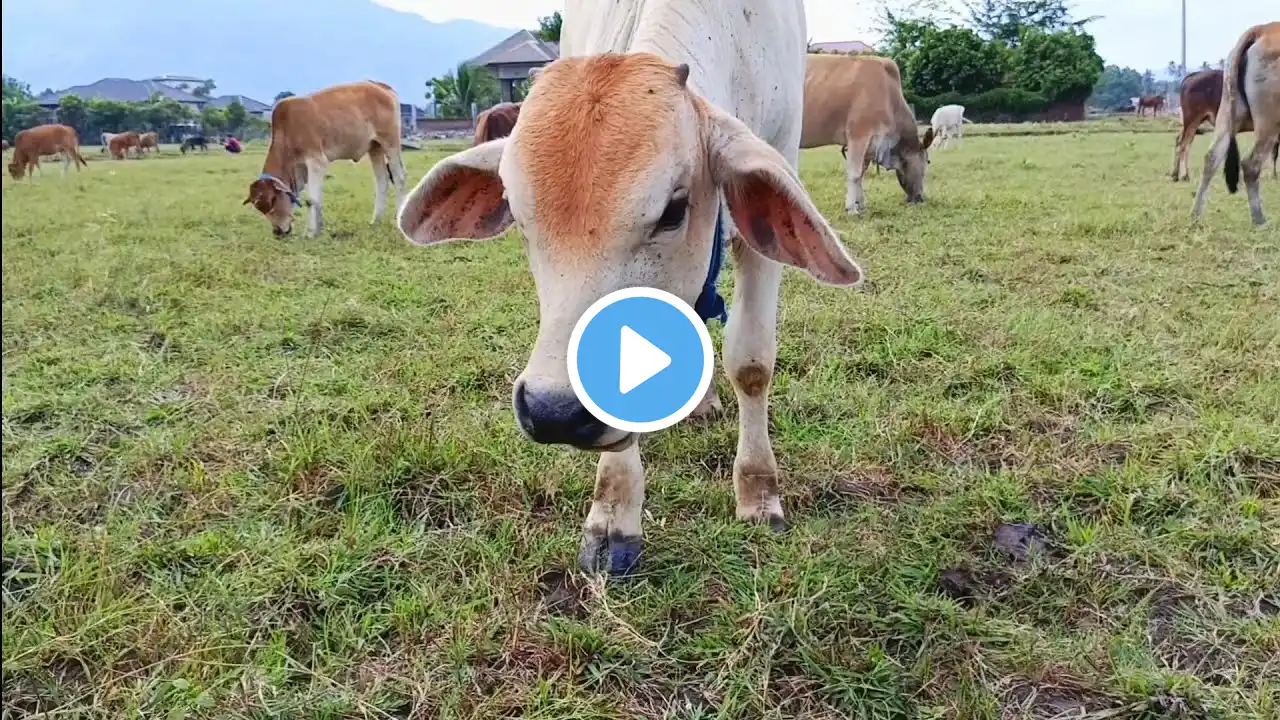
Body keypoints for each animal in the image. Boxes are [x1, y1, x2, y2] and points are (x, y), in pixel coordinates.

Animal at [240, 78, 399, 235]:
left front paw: (311, 232)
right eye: (261, 209)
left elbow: (312, 199)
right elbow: (317, 199)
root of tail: (379, 85)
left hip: (390, 142)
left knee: (399, 177)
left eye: (273, 199)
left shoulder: (316, 161)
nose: (277, 232)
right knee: (382, 180)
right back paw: (376, 220)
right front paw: (319, 228)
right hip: (374, 147)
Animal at [394, 0, 865, 571]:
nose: (553, 412)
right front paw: (613, 517)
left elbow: (752, 364)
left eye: (673, 211)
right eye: (520, 217)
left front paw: (758, 492)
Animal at [798, 52, 931, 212]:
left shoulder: (870, 145)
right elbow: (855, 174)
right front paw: (852, 208)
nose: (920, 197)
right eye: (927, 162)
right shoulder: (859, 135)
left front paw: (860, 204)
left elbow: (861, 173)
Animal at [1187, 22, 1280, 224]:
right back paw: (1259, 220)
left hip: (1227, 112)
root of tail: (1261, 29)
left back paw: (1196, 215)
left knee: (1212, 157)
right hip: (1270, 120)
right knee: (1250, 164)